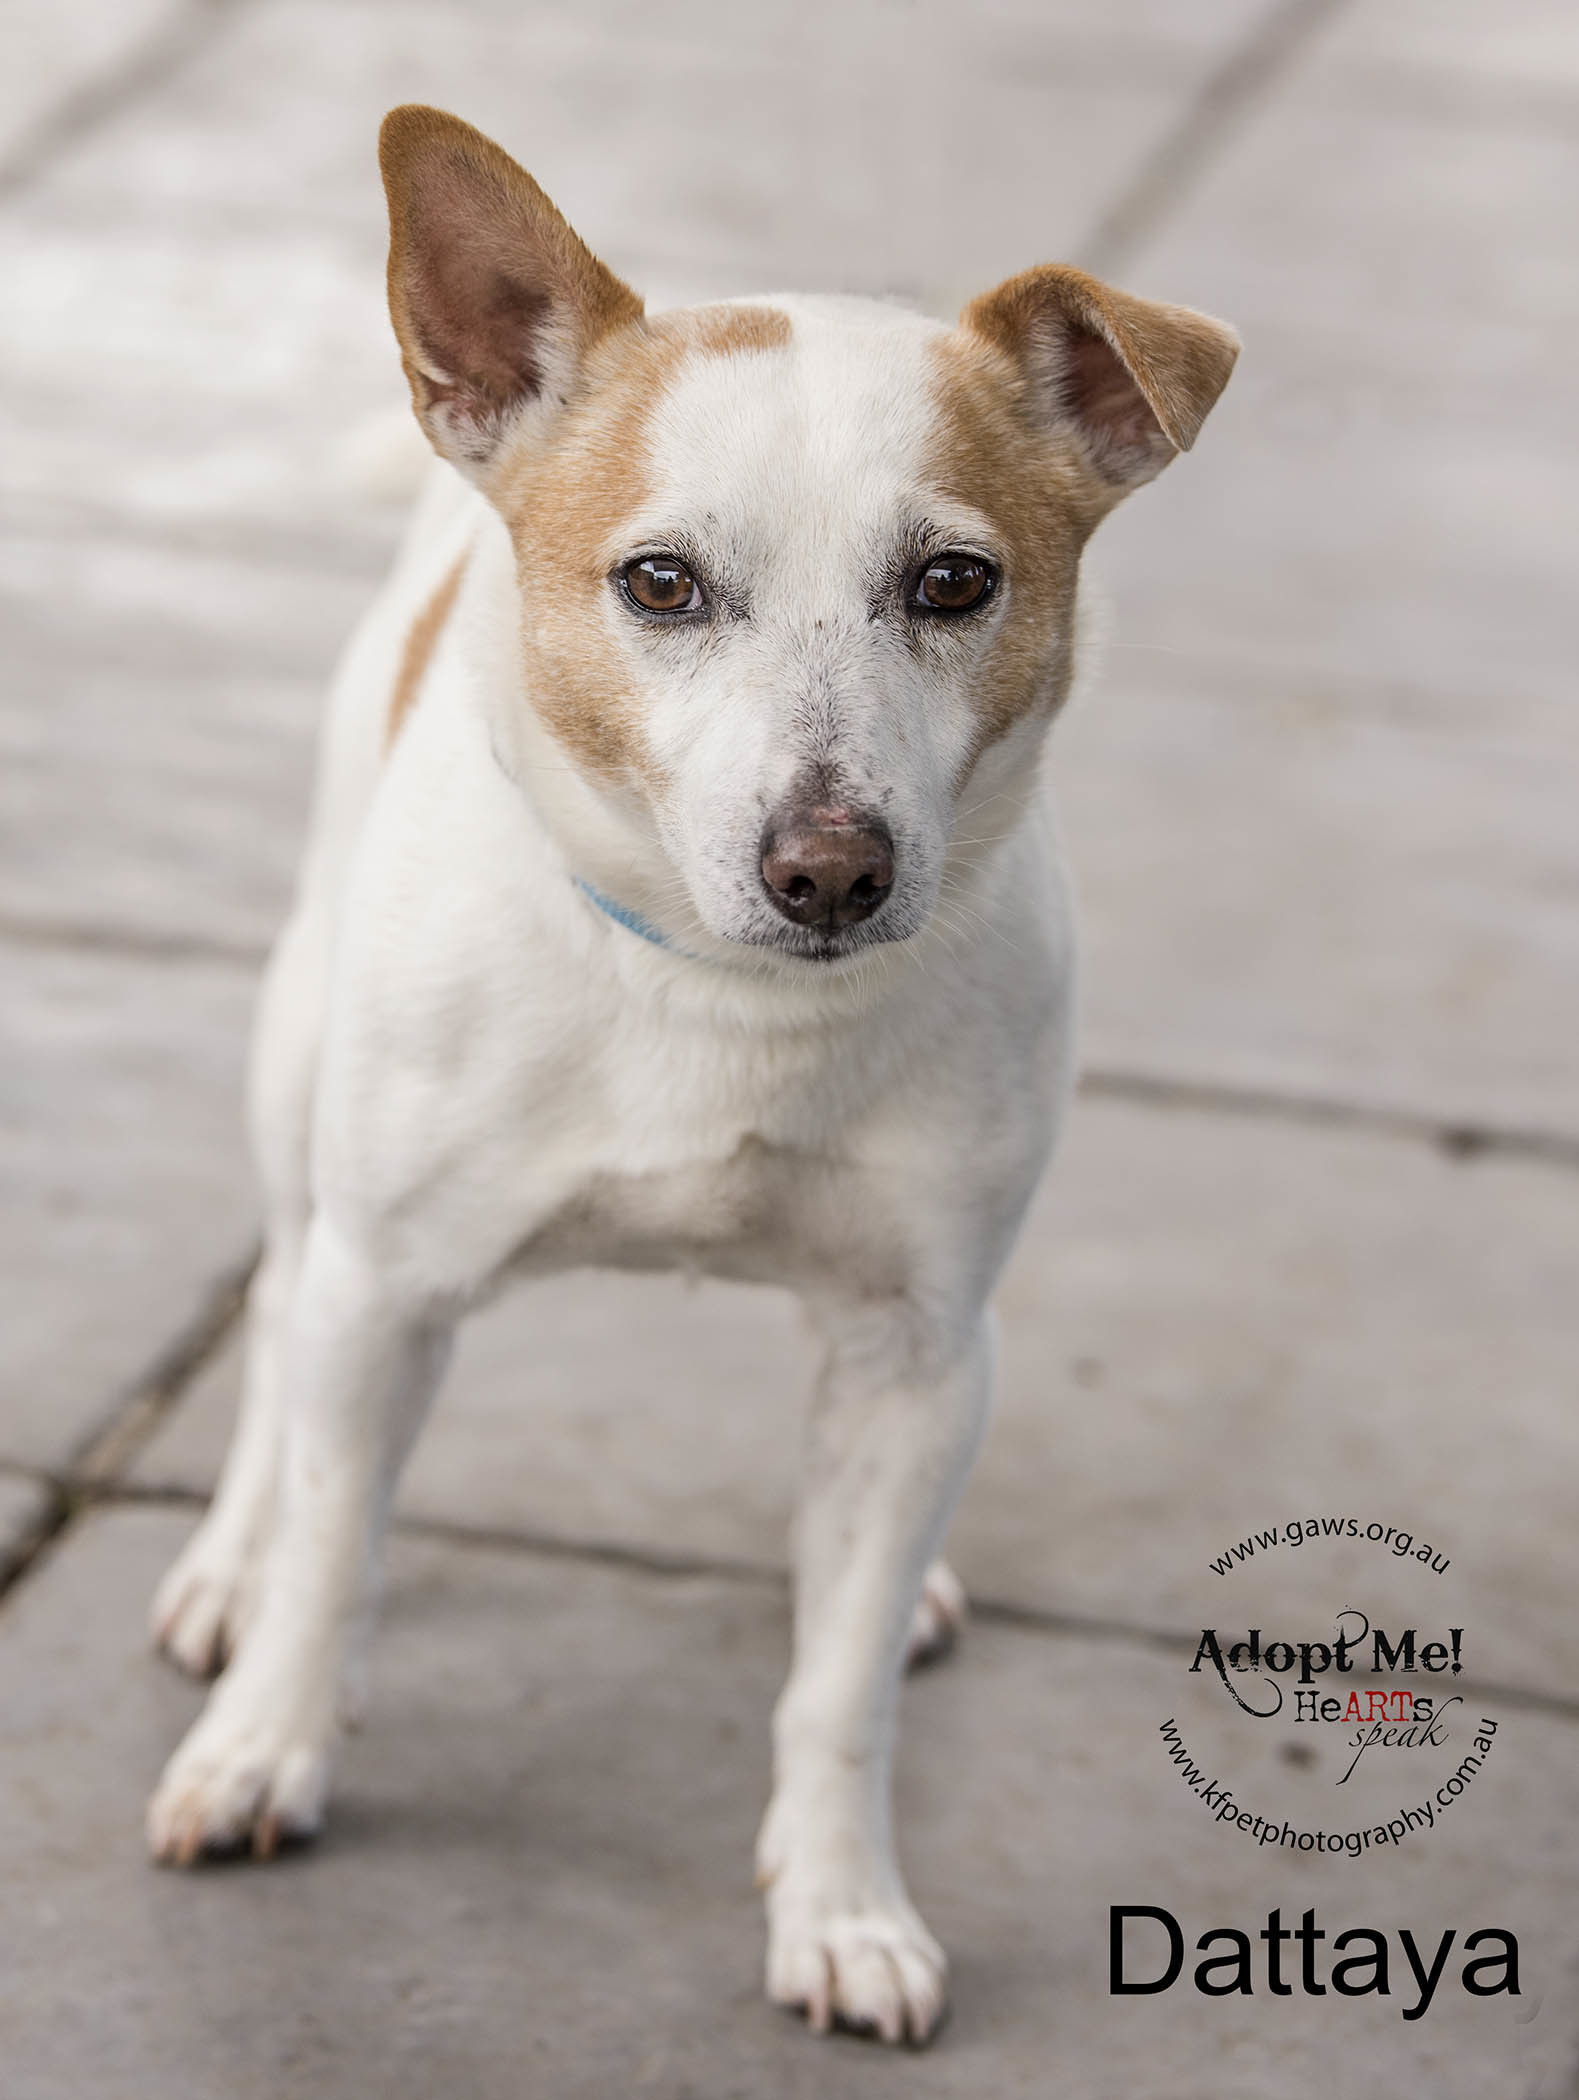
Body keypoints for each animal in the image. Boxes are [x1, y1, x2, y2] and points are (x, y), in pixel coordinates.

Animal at [144, 104, 1237, 2045]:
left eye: (952, 583)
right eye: (659, 584)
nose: (831, 869)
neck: (723, 1000)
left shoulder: (916, 1355)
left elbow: (836, 1686)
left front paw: (842, 1904)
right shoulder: (387, 1289)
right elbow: (336, 1551)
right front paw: (267, 1742)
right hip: (296, 1088)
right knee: (275, 1315)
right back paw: (229, 1562)